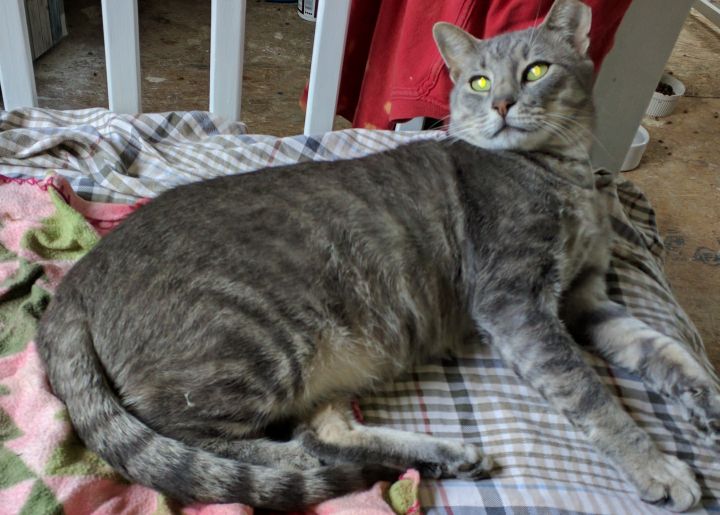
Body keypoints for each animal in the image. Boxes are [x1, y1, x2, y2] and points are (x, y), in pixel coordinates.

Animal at [36, 1, 716, 512]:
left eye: (537, 70)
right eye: (479, 82)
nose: (501, 104)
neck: (566, 175)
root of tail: (76, 282)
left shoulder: (586, 298)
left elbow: (662, 348)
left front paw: (706, 401)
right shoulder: (516, 305)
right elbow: (589, 394)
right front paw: (659, 467)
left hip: (320, 358)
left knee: (326, 431)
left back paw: (438, 455)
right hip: (253, 344)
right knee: (213, 441)